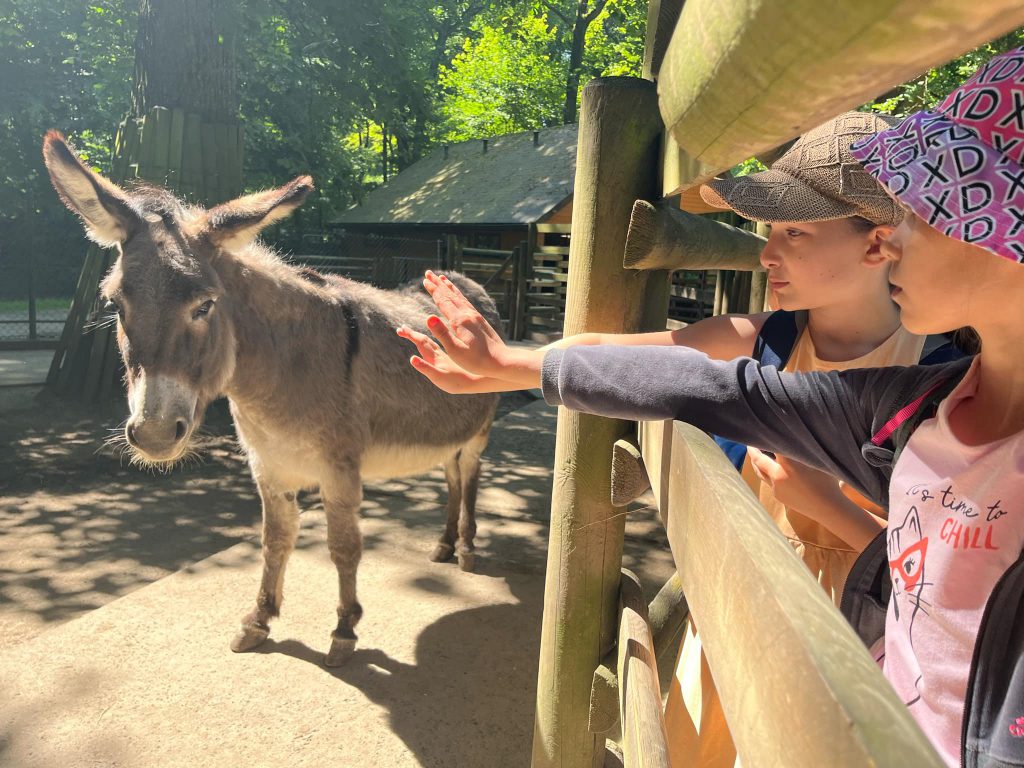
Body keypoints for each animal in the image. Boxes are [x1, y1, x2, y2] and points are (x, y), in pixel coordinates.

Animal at [42, 131, 500, 666]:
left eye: (205, 306)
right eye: (115, 304)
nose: (153, 434)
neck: (278, 377)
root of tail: (465, 282)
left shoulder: (339, 471)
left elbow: (344, 546)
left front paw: (344, 630)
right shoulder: (269, 468)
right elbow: (274, 542)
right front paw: (259, 620)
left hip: (478, 432)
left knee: (469, 479)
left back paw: (466, 549)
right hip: (447, 432)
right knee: (451, 479)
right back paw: (444, 545)